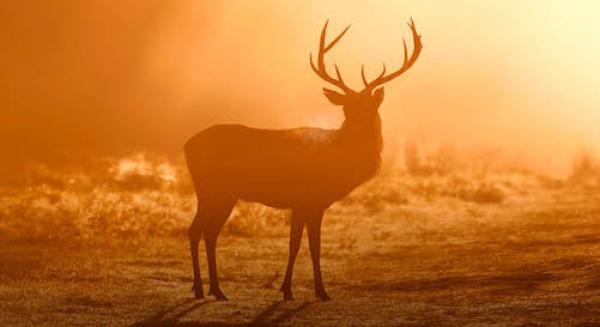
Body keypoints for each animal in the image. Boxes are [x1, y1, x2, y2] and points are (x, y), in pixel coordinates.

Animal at [183, 19, 422, 302]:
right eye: (346, 108)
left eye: (369, 107)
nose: (356, 127)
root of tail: (186, 146)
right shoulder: (306, 199)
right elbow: (302, 245)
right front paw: (305, 291)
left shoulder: (311, 204)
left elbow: (306, 245)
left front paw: (302, 289)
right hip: (216, 189)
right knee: (200, 231)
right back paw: (207, 289)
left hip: (216, 192)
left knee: (204, 232)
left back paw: (211, 289)